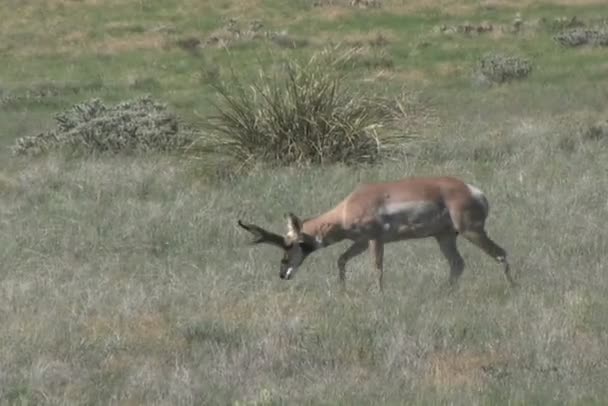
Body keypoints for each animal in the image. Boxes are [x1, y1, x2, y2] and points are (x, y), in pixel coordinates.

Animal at [238, 176, 512, 290]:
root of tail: (473, 190)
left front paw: (378, 294)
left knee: (501, 252)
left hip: (471, 232)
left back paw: (512, 288)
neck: (348, 206)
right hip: (444, 237)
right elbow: (341, 259)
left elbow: (377, 269)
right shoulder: (359, 242)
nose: (283, 274)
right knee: (457, 263)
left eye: (289, 245)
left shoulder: (374, 240)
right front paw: (343, 290)